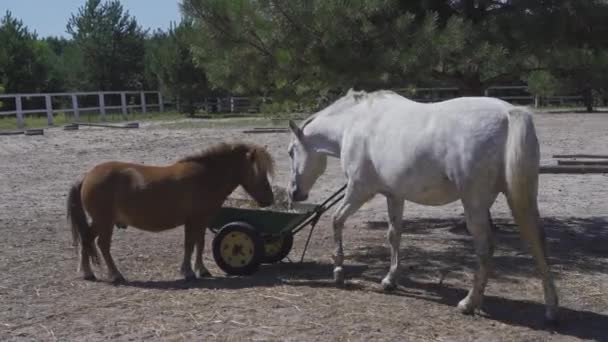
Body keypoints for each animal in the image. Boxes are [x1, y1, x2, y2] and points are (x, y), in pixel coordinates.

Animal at [67, 142, 276, 284]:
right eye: (257, 171)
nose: (269, 199)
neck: (205, 176)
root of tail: (87, 176)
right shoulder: (193, 220)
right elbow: (190, 245)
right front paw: (188, 272)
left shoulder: (200, 221)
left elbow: (199, 244)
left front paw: (201, 270)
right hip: (105, 222)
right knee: (102, 245)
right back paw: (115, 275)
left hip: (99, 222)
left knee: (86, 239)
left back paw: (87, 273)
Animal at [288, 88, 560, 320]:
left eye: (291, 151)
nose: (294, 192)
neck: (353, 122)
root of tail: (508, 113)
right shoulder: (394, 195)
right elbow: (394, 235)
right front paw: (389, 280)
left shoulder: (358, 190)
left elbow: (336, 220)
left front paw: (338, 272)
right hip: (521, 197)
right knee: (537, 240)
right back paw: (551, 308)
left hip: (475, 204)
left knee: (486, 248)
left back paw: (468, 303)